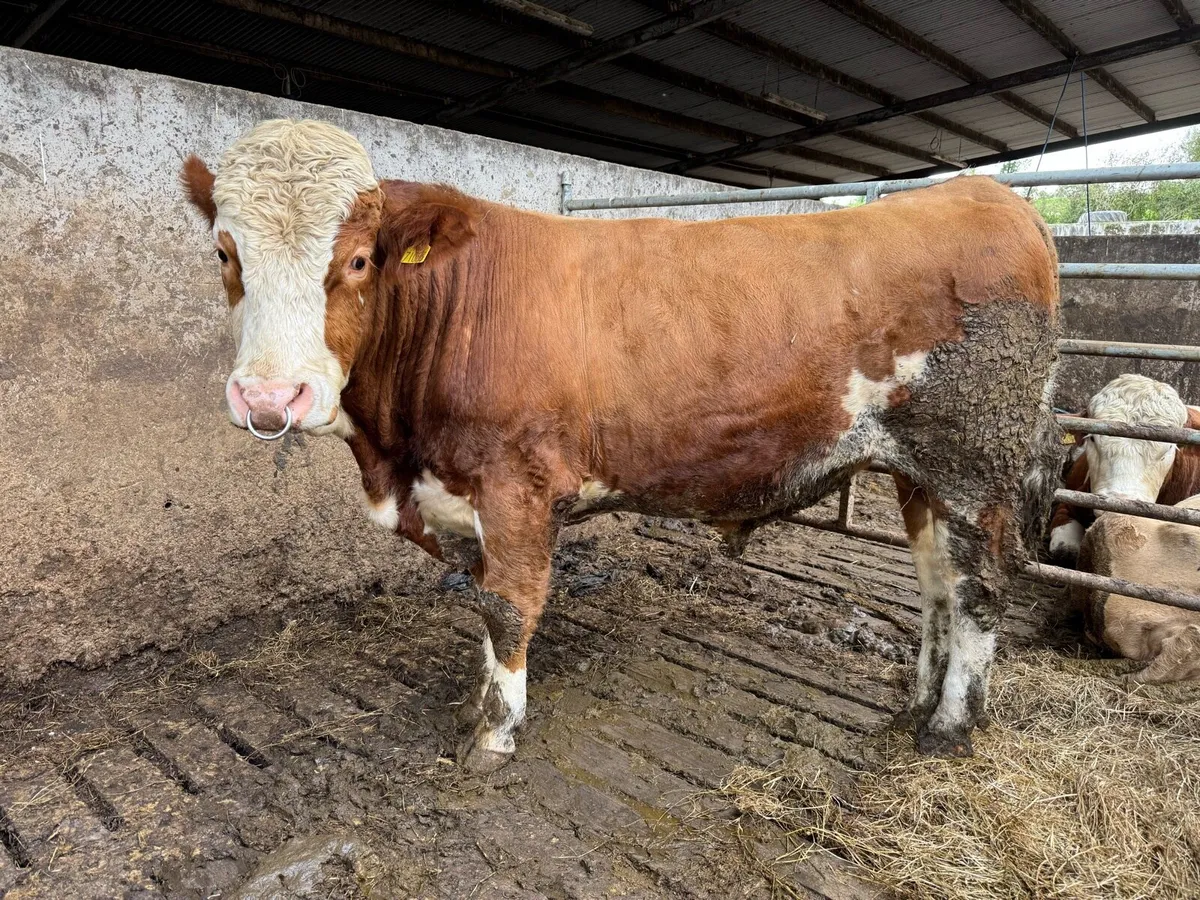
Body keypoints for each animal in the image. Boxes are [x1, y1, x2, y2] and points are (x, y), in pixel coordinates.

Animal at [180, 119, 1062, 772]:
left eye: (360, 259)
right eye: (224, 253)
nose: (270, 398)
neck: (394, 454)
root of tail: (983, 193)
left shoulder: (516, 486)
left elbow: (509, 608)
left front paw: (495, 735)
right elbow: (482, 607)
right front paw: (476, 705)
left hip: (974, 464)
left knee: (979, 592)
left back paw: (949, 728)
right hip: (921, 475)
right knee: (937, 585)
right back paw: (916, 704)